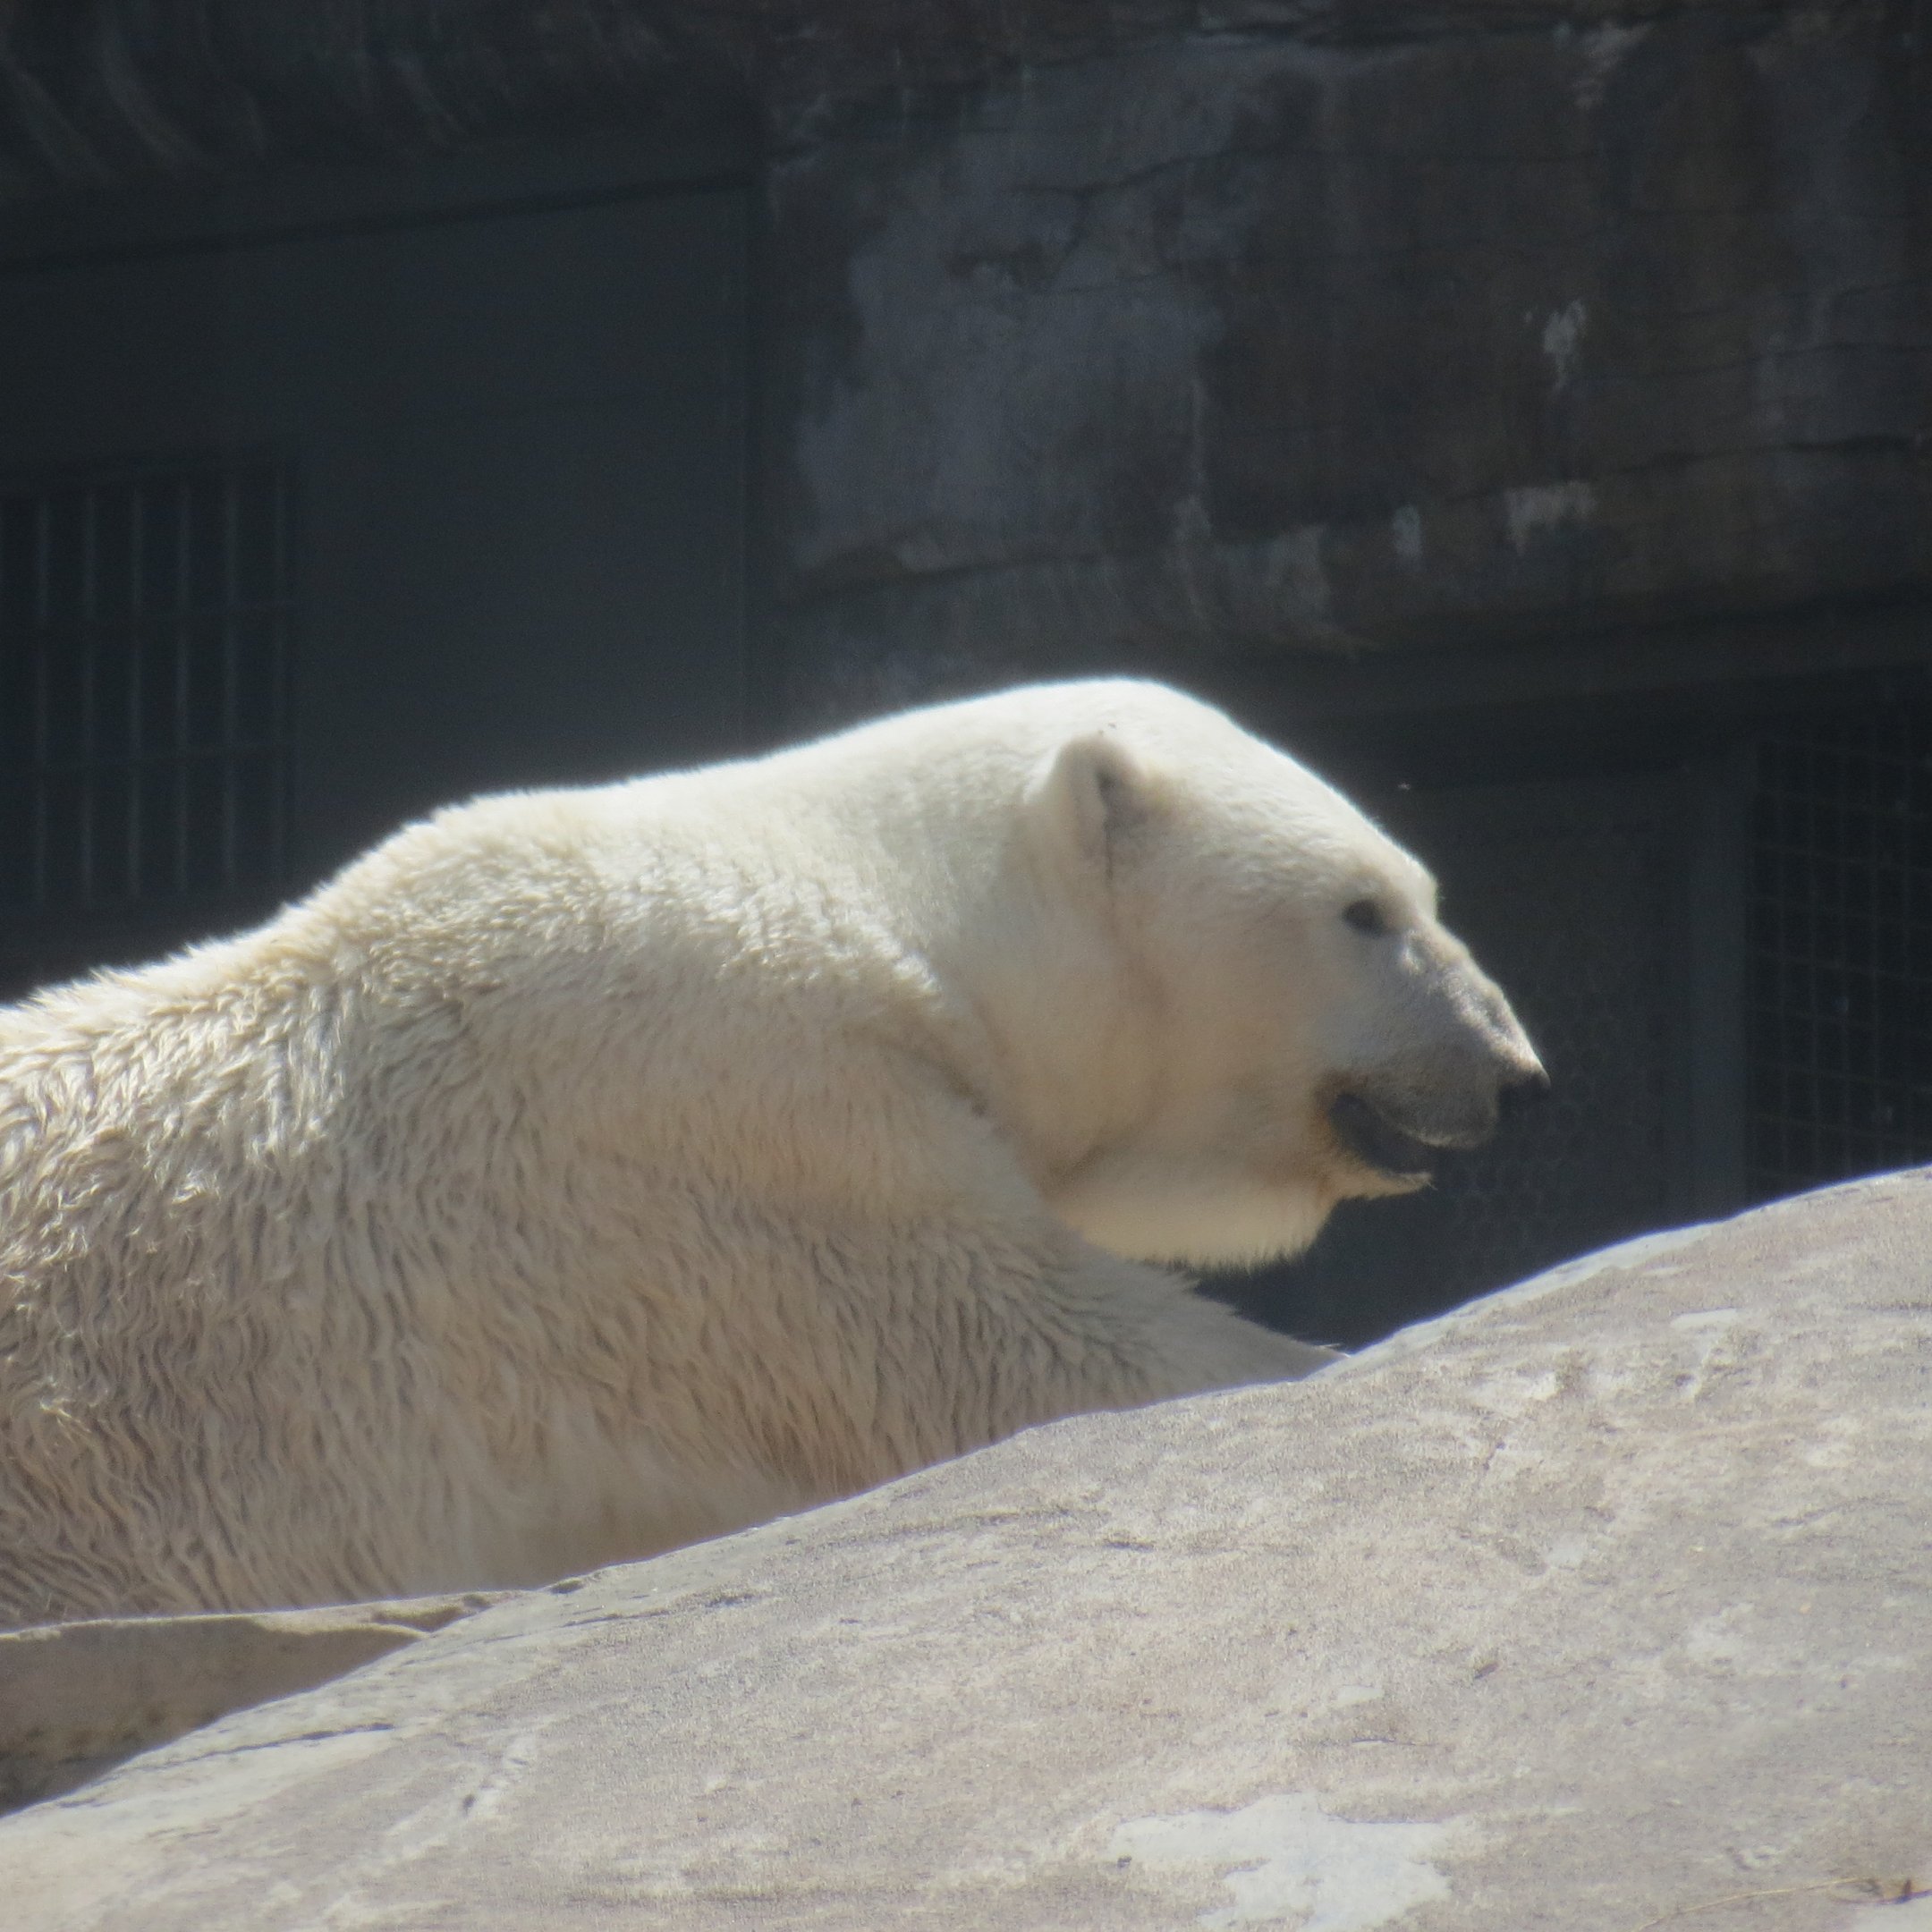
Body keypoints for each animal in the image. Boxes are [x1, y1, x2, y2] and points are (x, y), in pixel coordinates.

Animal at [0, 679, 1543, 1624]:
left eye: (1422, 889)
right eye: (1363, 909)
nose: (1514, 1074)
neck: (895, 918)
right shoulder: (737, 1126)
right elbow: (1018, 1347)